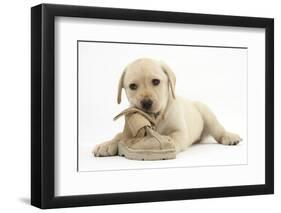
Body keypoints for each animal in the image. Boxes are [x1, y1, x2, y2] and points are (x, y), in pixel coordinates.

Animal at [92, 58, 241, 156]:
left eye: (156, 82)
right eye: (132, 86)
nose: (146, 103)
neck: (156, 117)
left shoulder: (180, 131)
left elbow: (173, 137)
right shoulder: (130, 131)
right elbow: (119, 135)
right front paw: (107, 144)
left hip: (206, 113)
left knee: (218, 129)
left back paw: (229, 136)